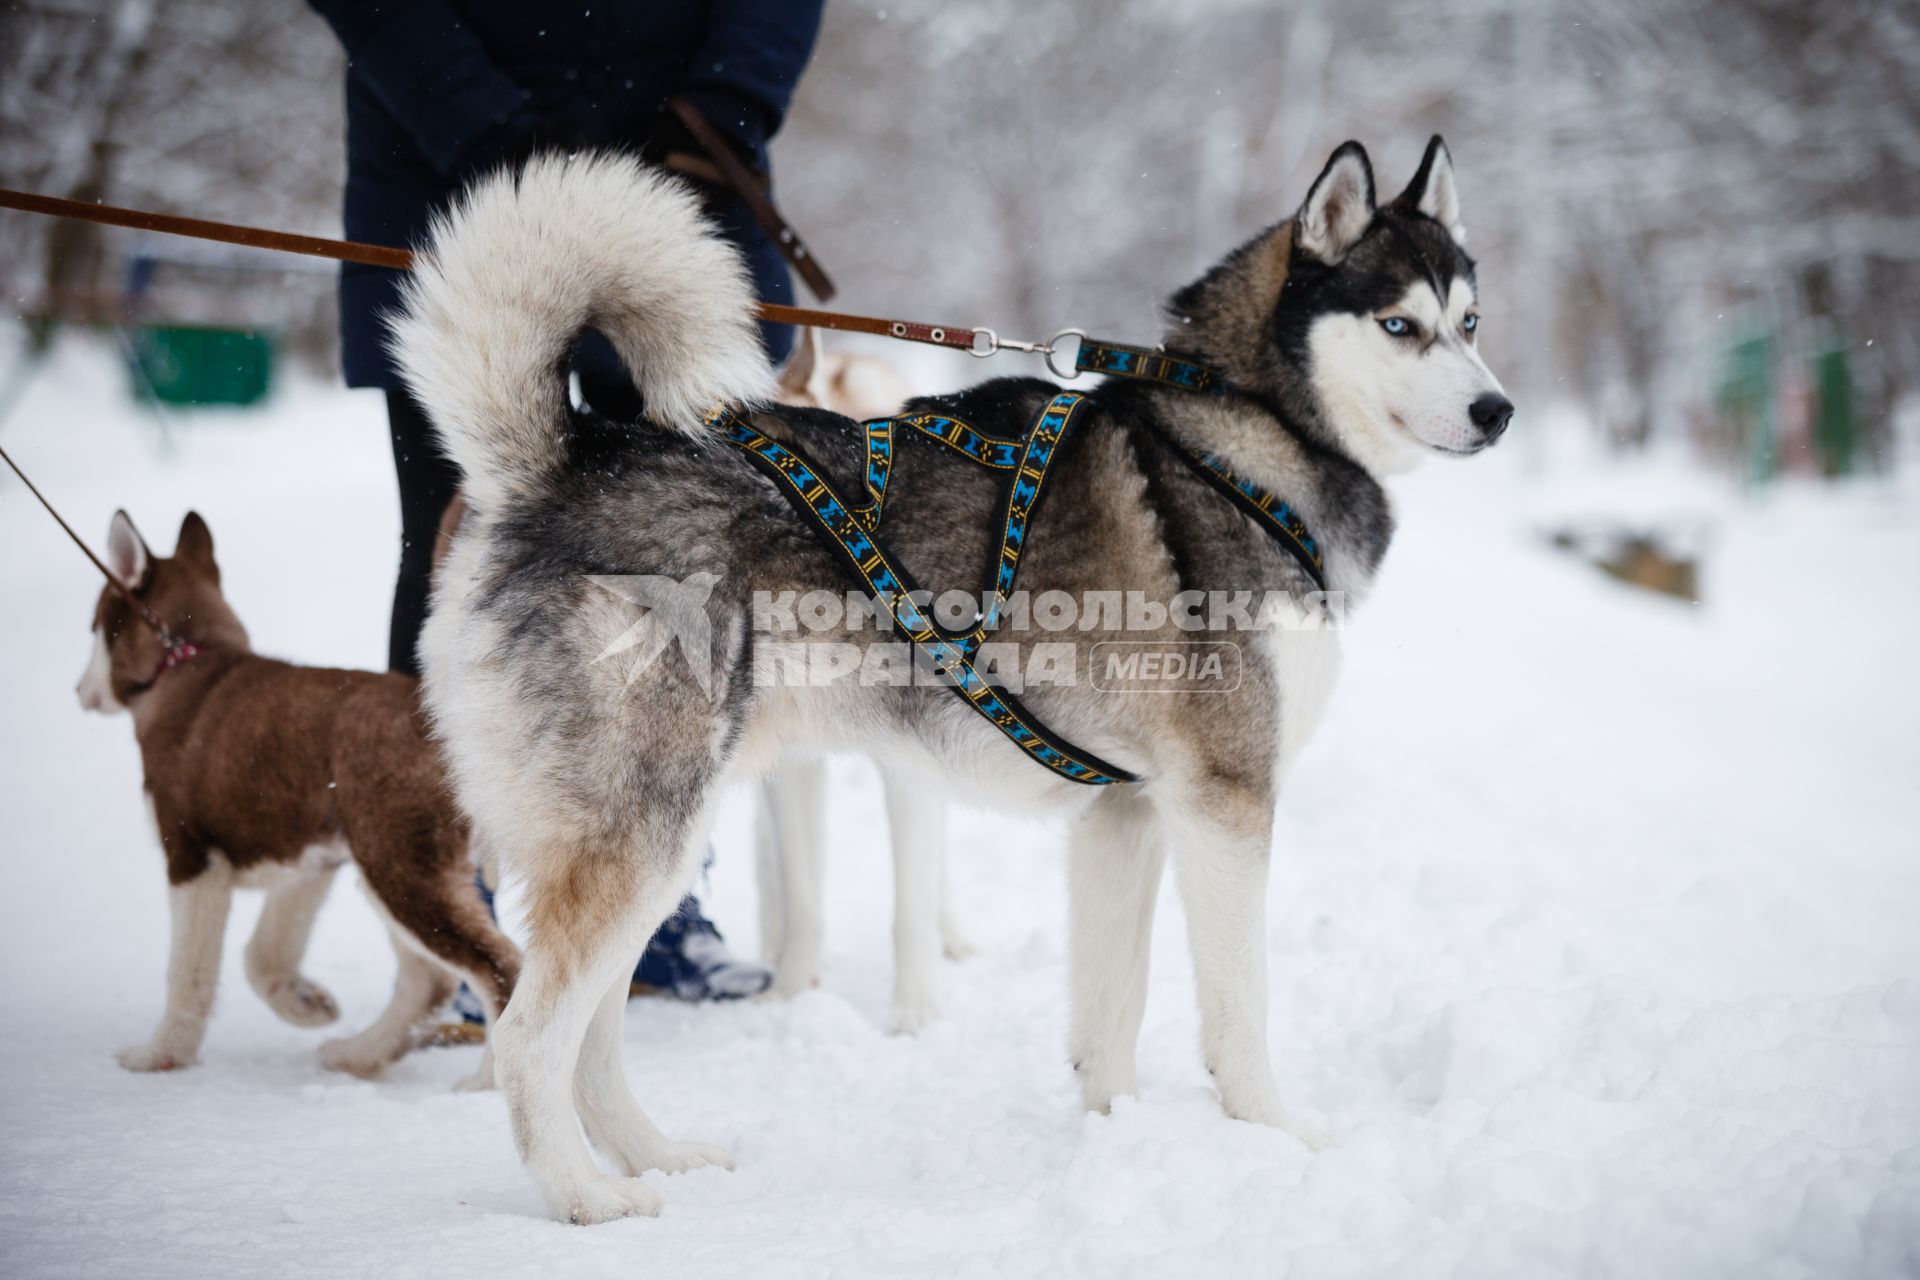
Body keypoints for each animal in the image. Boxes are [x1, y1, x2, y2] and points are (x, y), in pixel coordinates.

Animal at [78, 506, 518, 1082]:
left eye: (93, 628)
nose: (79, 691)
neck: (187, 660)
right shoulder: (310, 860)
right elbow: (263, 953)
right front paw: (307, 1004)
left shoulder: (192, 857)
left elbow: (188, 971)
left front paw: (161, 1055)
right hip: (387, 865)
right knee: (431, 980)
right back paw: (358, 1053)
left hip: (399, 863)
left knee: (499, 968)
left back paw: (486, 1082)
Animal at [401, 135, 1512, 1228]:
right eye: (1401, 324)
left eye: (1469, 321)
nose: (1497, 409)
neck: (1243, 438)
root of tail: (561, 467)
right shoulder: (1226, 803)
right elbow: (1240, 1011)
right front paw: (1281, 1139)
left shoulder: (1126, 814)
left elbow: (1112, 1010)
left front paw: (1114, 1138)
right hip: (643, 833)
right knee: (531, 1036)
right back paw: (585, 1197)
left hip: (663, 844)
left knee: (593, 1041)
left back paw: (659, 1161)